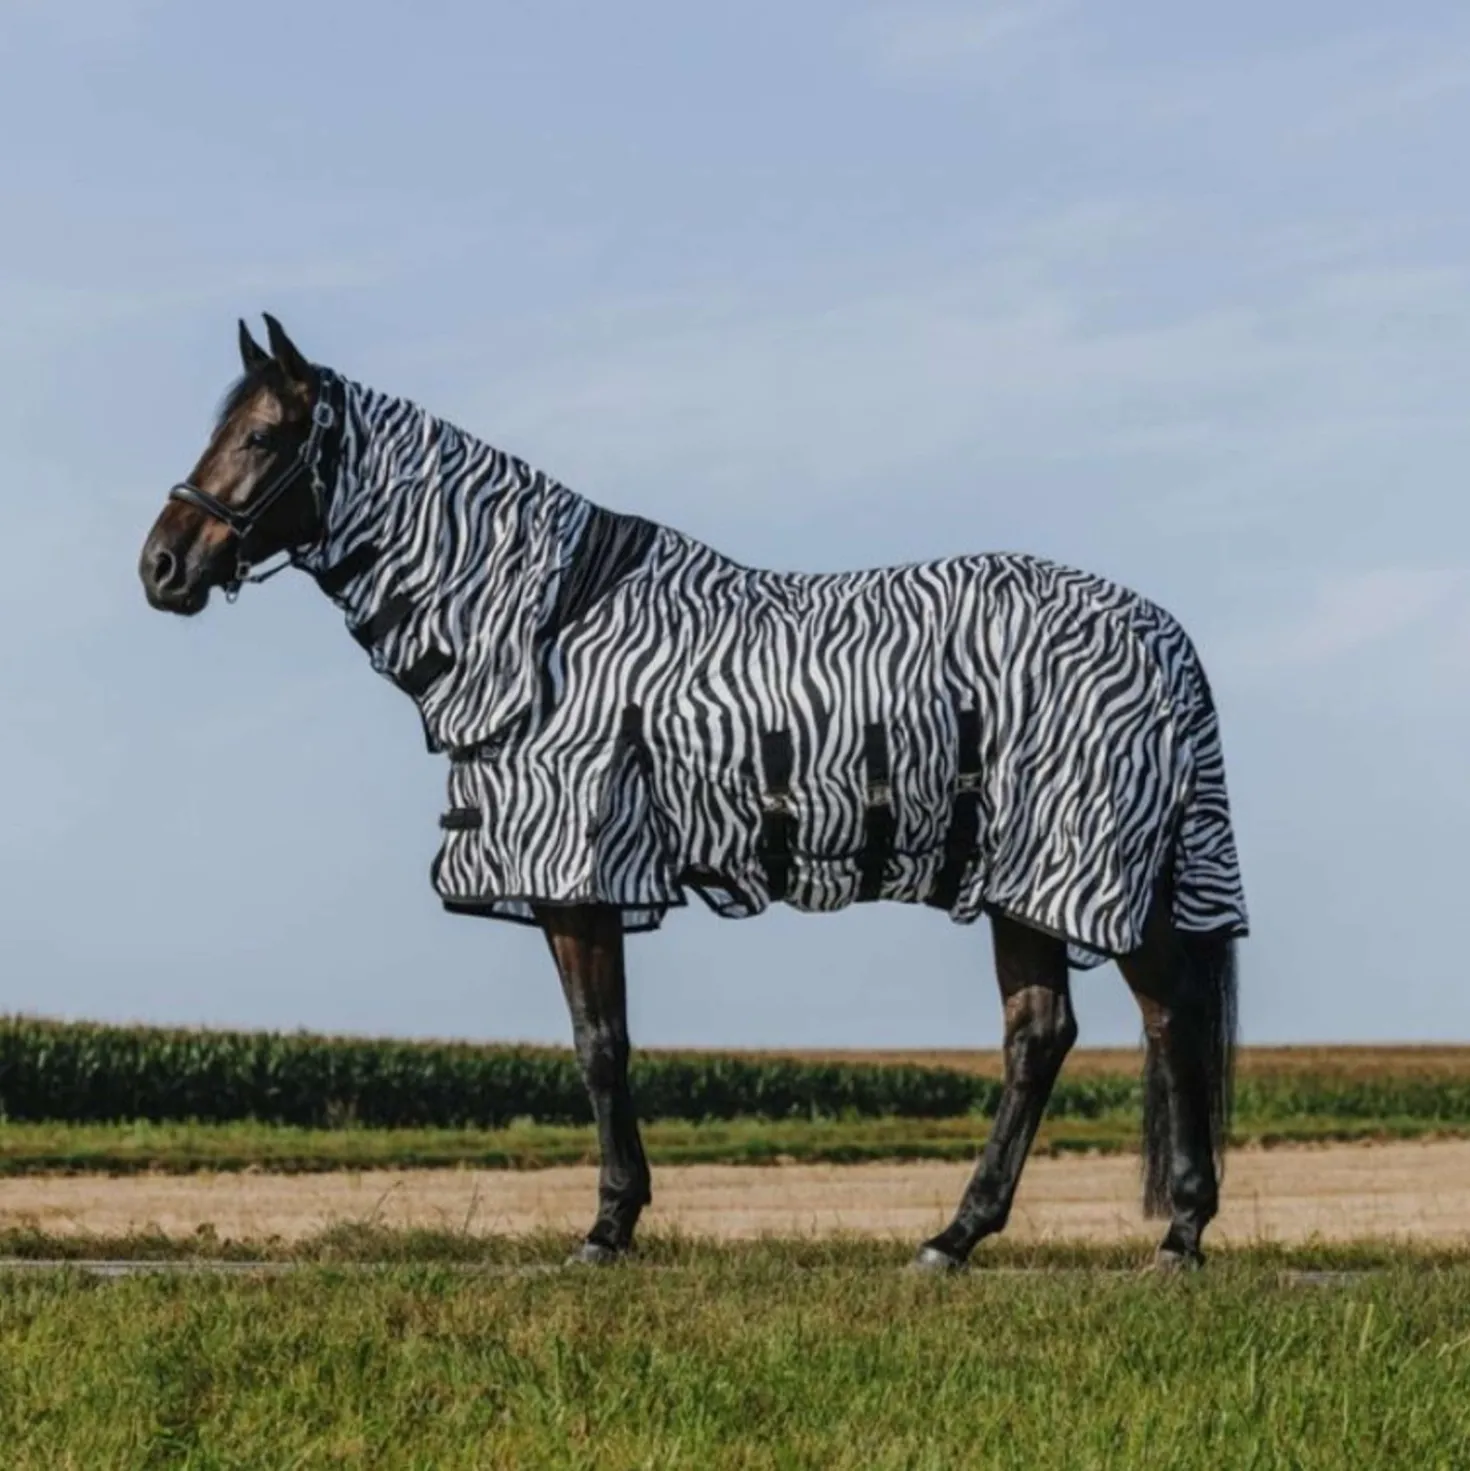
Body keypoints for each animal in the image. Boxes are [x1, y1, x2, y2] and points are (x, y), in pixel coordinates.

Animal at [139, 315, 1248, 1271]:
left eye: (262, 434)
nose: (162, 565)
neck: (545, 627)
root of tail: (1164, 634)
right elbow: (607, 1043)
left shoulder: (580, 876)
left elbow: (600, 1047)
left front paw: (607, 1226)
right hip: (1033, 881)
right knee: (1052, 1033)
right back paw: (971, 1235)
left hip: (1077, 867)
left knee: (1157, 1021)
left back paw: (1164, 1235)